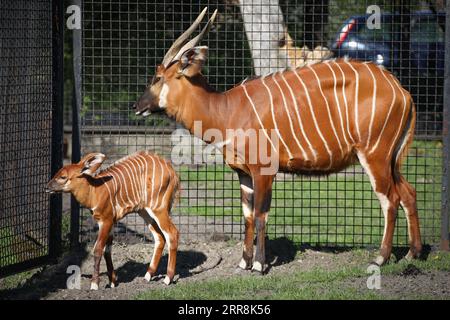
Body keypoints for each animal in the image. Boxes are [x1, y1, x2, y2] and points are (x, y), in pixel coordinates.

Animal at [46, 151, 179, 288]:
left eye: (63, 177)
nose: (47, 186)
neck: (95, 191)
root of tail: (171, 171)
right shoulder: (111, 222)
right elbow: (107, 251)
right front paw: (113, 282)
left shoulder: (106, 221)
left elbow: (98, 249)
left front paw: (95, 284)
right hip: (145, 212)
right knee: (160, 237)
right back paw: (148, 275)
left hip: (159, 209)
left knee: (172, 233)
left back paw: (168, 278)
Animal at [132, 7, 420, 272]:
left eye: (158, 77)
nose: (137, 106)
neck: (226, 110)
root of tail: (402, 91)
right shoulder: (244, 174)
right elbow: (248, 216)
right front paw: (244, 262)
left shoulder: (264, 171)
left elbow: (261, 215)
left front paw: (259, 264)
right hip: (391, 160)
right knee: (408, 192)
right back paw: (412, 254)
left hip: (375, 155)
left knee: (390, 199)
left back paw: (380, 257)